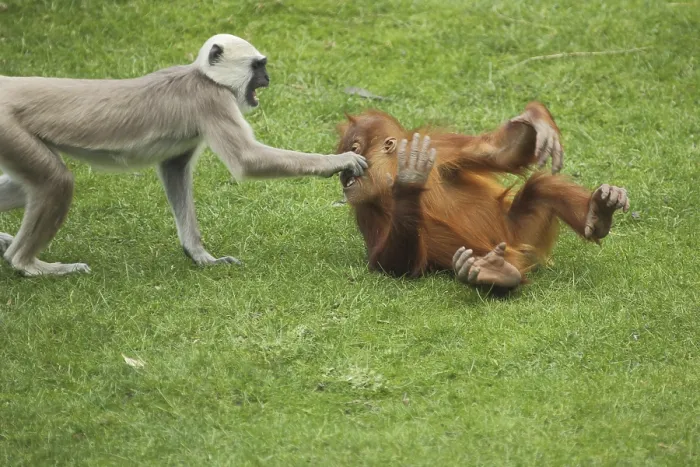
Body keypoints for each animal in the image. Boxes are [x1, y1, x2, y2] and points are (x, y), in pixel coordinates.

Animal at [0, 34, 367, 276]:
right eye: (258, 66)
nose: (267, 77)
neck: (201, 76)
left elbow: (174, 168)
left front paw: (201, 256)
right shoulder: (212, 100)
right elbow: (246, 161)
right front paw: (340, 161)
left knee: (28, 186)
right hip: (9, 127)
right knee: (56, 181)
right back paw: (28, 265)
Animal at [335, 103, 630, 290]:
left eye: (354, 149)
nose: (344, 176)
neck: (392, 170)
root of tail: (515, 246)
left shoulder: (442, 147)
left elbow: (497, 152)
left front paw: (535, 117)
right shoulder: (365, 206)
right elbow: (389, 265)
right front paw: (409, 183)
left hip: (517, 231)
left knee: (542, 187)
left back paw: (599, 212)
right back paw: (495, 273)